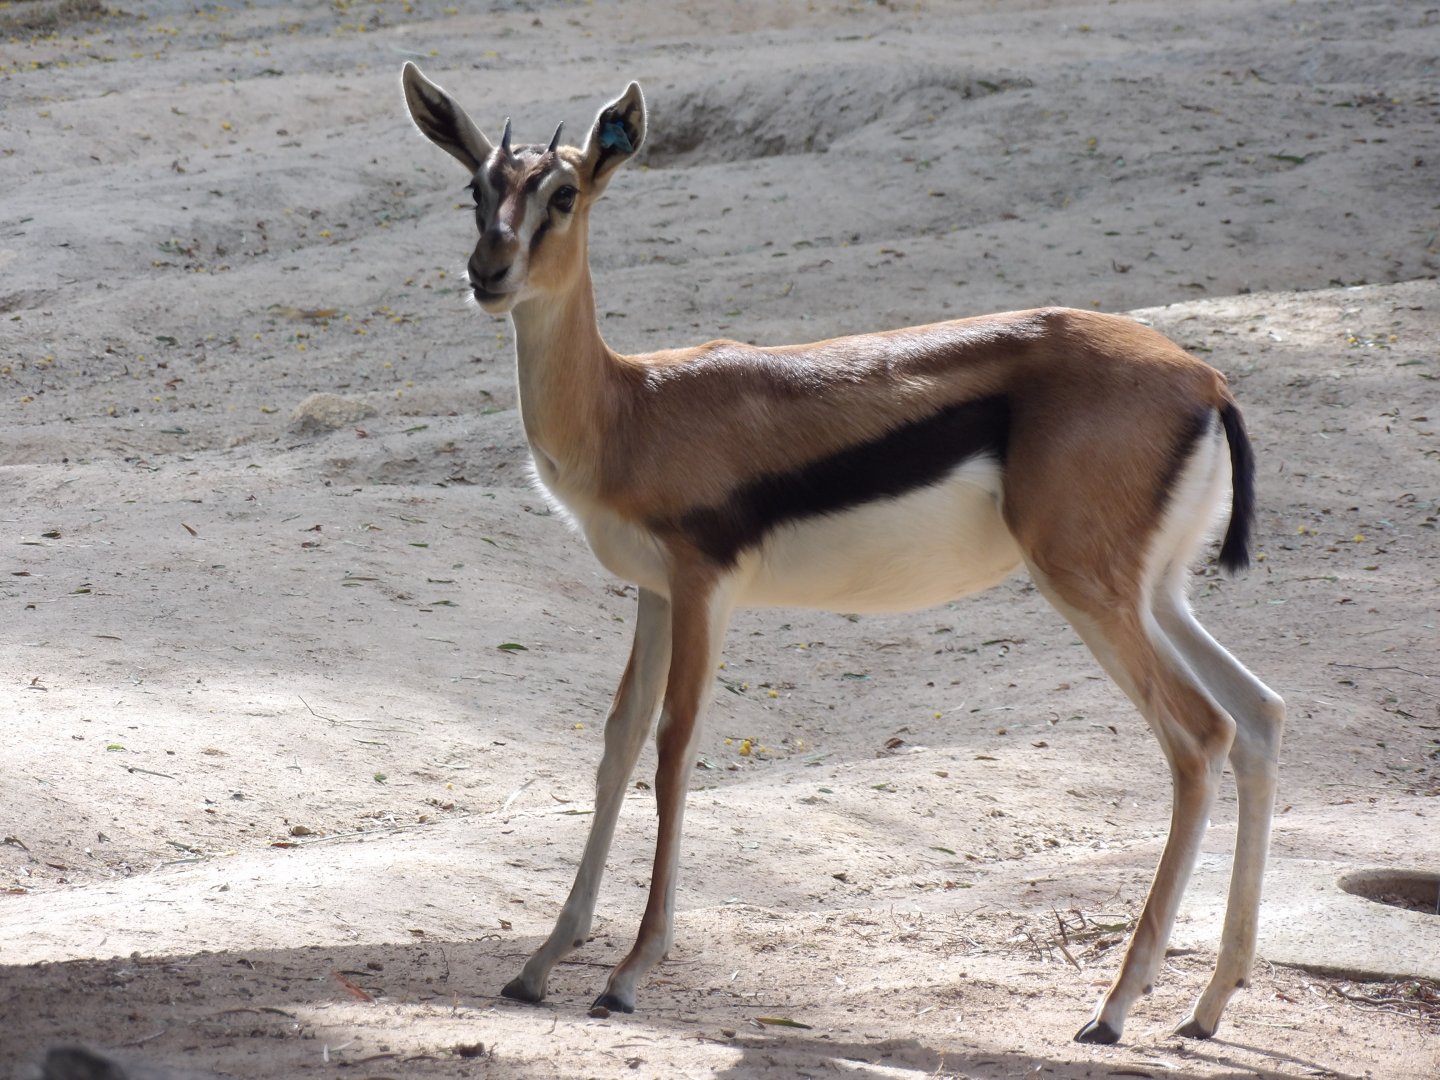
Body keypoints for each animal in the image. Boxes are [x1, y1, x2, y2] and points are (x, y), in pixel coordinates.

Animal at [399, 64, 1286, 1045]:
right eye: (477, 190)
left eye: (563, 194)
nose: (488, 273)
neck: (631, 409)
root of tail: (1205, 381)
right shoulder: (655, 594)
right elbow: (618, 743)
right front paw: (540, 963)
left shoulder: (704, 588)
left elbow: (674, 748)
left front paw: (628, 976)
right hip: (1156, 594)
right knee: (1260, 716)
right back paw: (1207, 1005)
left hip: (1087, 589)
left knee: (1198, 736)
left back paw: (1116, 1007)